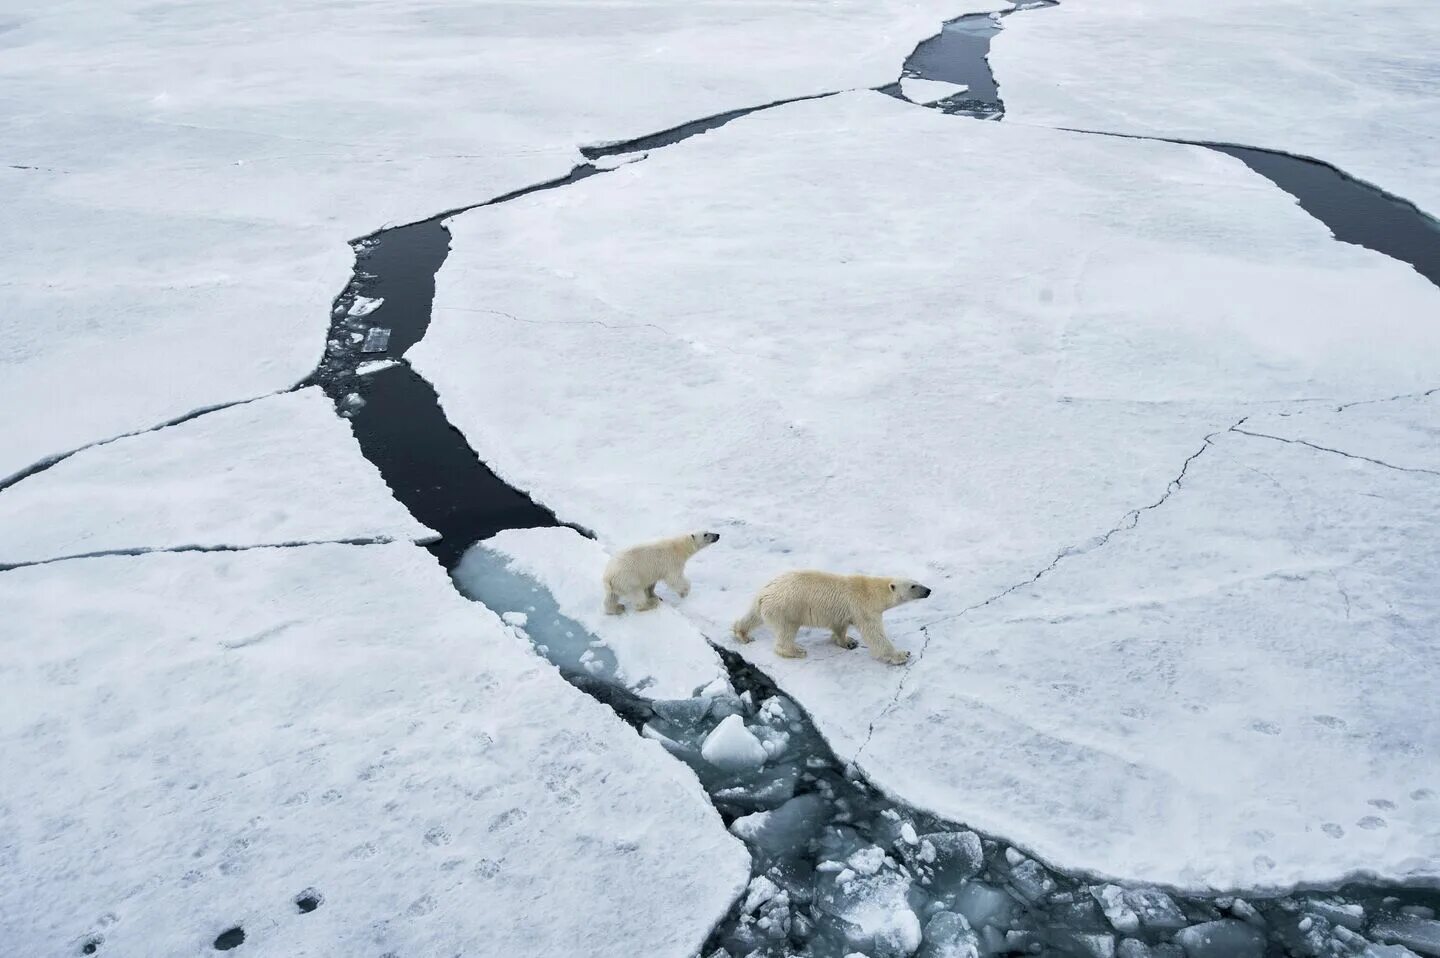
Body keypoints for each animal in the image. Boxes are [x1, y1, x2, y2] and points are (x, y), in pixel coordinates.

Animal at [731, 567, 933, 665]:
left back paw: (742, 634)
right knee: (786, 631)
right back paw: (796, 650)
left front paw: (848, 641)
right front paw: (901, 655)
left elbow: (840, 626)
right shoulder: (864, 608)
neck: (872, 591)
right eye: (913, 586)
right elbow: (875, 635)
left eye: (917, 582)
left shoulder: (844, 611)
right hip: (786, 609)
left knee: (752, 616)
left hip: (765, 604)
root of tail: (764, 593)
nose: (928, 590)